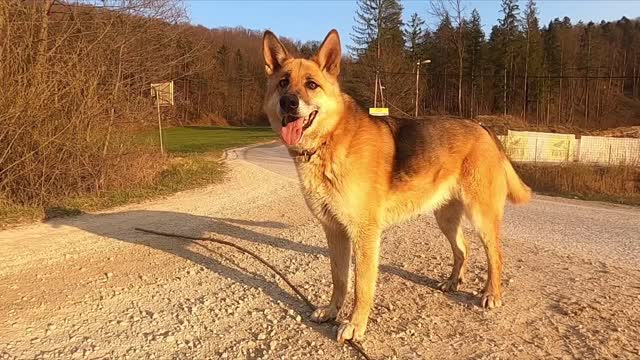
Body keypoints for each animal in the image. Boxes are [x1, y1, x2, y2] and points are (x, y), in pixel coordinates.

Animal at [260, 29, 528, 342]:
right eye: (283, 83)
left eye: (311, 85)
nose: (288, 103)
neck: (330, 141)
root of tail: (484, 128)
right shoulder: (334, 231)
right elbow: (339, 278)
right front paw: (332, 310)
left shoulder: (364, 235)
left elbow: (362, 285)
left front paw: (355, 324)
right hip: (446, 217)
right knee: (462, 249)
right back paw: (453, 281)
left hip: (481, 216)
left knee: (495, 255)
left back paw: (491, 293)